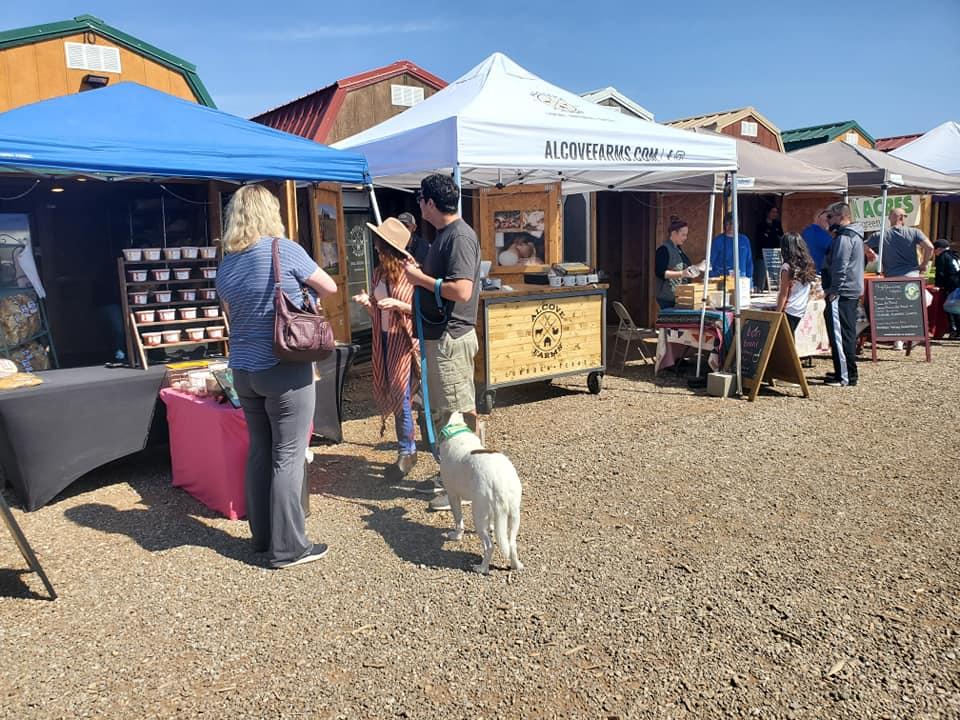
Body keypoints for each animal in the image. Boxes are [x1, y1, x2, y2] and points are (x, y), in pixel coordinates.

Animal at [436, 416, 520, 572]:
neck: (456, 429)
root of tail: (499, 481)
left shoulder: (453, 496)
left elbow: (459, 521)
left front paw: (456, 536)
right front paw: (492, 527)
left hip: (478, 516)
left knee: (489, 546)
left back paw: (481, 568)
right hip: (514, 515)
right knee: (512, 544)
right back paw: (516, 565)